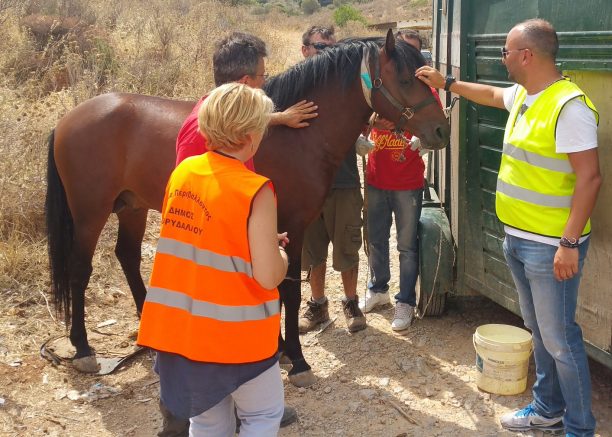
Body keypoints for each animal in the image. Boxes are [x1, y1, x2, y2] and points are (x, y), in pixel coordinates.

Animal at [45, 30, 448, 384]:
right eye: (407, 79)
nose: (442, 131)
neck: (296, 136)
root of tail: (68, 119)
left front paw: (280, 349)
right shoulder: (291, 225)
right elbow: (288, 291)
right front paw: (296, 359)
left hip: (132, 207)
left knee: (127, 256)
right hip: (90, 213)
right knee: (80, 270)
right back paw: (83, 349)